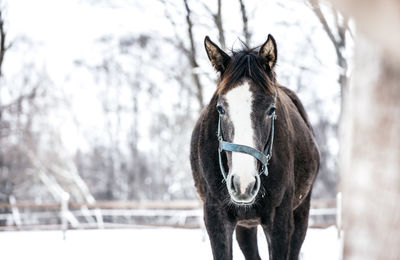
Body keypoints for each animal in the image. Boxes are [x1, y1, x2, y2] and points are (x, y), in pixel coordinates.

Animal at [190, 35, 318, 260]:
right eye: (220, 108)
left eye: (271, 109)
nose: (243, 184)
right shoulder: (216, 219)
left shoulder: (280, 223)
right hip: (246, 224)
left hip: (301, 212)